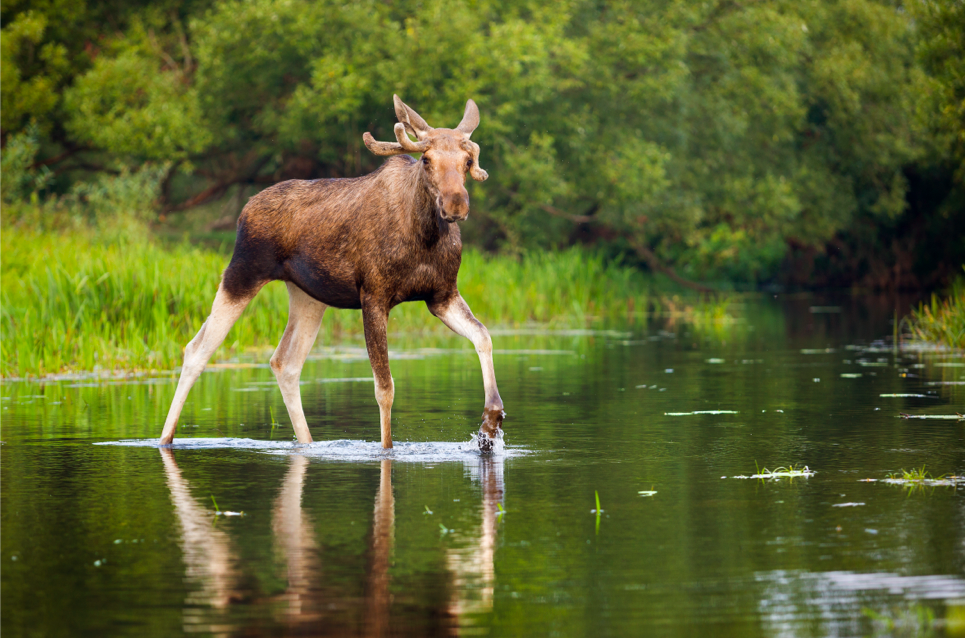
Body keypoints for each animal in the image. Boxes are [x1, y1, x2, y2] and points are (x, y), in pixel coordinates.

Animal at [158, 97, 504, 452]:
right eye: (426, 159)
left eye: (467, 160)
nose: (455, 204)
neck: (425, 236)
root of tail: (244, 210)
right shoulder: (374, 296)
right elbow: (385, 388)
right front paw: (387, 449)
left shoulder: (442, 295)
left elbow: (484, 336)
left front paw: (490, 423)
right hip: (242, 272)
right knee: (197, 350)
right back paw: (165, 438)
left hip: (308, 296)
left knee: (285, 362)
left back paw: (307, 442)